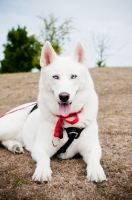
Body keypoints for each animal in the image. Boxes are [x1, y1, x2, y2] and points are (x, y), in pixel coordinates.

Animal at [0, 41, 106, 183]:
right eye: (55, 77)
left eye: (73, 76)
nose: (64, 96)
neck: (66, 119)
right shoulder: (40, 147)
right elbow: (44, 158)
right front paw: (42, 171)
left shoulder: (92, 146)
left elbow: (94, 158)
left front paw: (96, 170)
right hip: (6, 128)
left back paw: (14, 146)